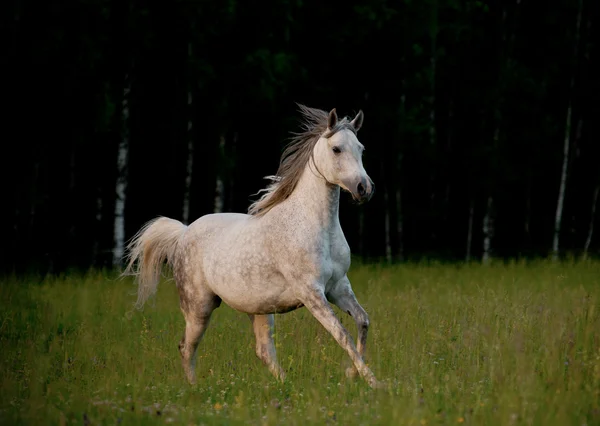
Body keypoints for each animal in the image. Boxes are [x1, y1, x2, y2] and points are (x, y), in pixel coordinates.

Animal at [123, 104, 380, 390]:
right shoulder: (311, 292)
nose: (364, 188)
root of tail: (183, 232)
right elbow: (342, 335)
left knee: (264, 351)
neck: (315, 226)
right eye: (336, 149)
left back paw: (286, 387)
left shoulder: (338, 286)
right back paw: (194, 389)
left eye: (361, 148)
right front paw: (374, 383)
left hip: (259, 310)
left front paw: (351, 374)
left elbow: (363, 322)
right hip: (198, 307)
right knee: (186, 348)